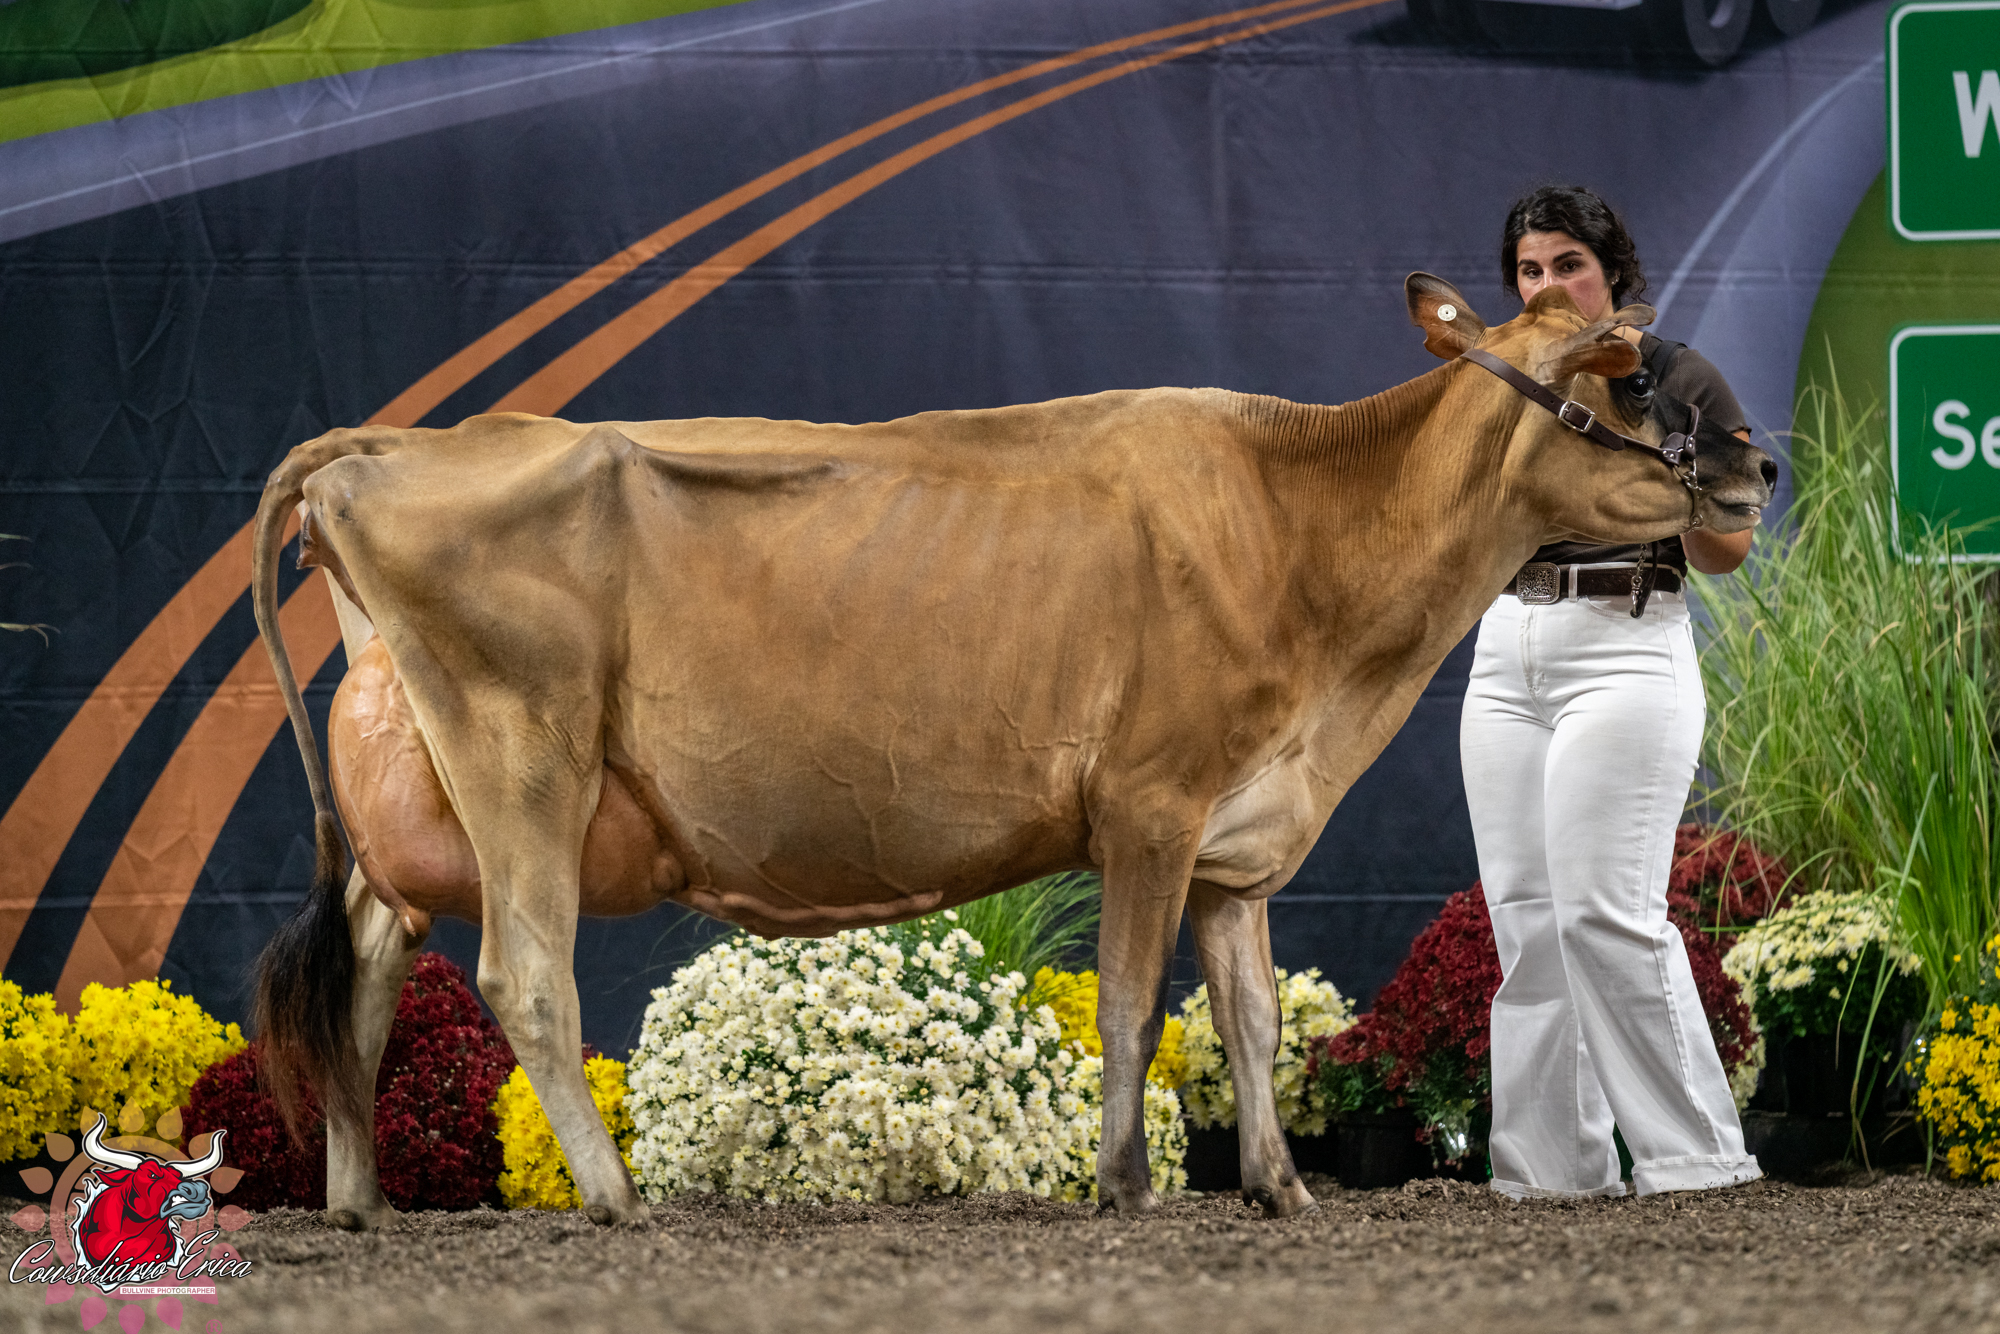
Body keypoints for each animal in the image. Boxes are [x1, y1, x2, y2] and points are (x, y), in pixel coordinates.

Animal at [249, 275, 1775, 1230]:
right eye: (1615, 381)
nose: (1752, 466)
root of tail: (381, 448)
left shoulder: (1240, 841)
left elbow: (1252, 1017)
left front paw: (1280, 1184)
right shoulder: (1153, 802)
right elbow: (1134, 1008)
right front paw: (1123, 1180)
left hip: (423, 797)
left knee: (366, 977)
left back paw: (357, 1198)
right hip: (526, 760)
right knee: (526, 974)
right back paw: (617, 1197)